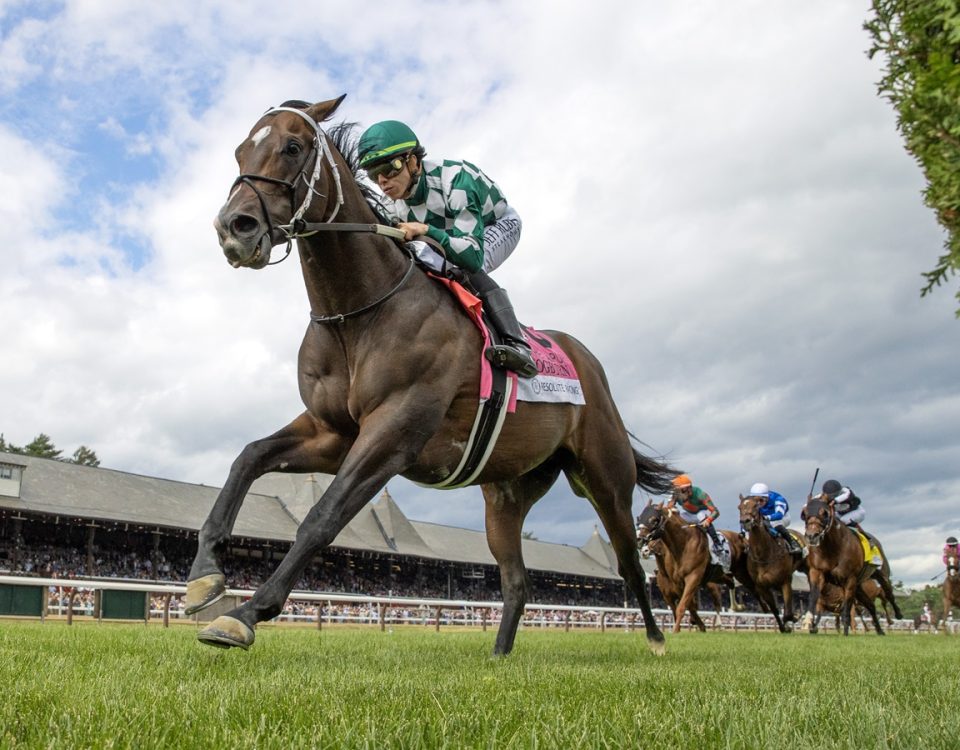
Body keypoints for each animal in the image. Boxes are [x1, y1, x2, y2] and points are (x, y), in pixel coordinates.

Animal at [182, 97, 676, 656]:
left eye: (292, 146)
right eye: (240, 150)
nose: (234, 228)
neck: (360, 312)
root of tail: (586, 360)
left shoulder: (394, 432)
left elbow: (320, 519)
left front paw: (245, 613)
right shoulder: (332, 431)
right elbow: (248, 458)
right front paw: (205, 577)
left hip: (605, 478)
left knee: (630, 562)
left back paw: (657, 641)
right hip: (506, 492)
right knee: (516, 580)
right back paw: (499, 656)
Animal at [636, 506, 756, 636]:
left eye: (653, 520)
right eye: (639, 518)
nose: (643, 548)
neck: (683, 544)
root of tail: (742, 538)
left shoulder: (692, 578)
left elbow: (683, 606)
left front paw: (677, 630)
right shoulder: (673, 590)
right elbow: (687, 606)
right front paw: (695, 625)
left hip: (729, 577)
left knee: (720, 600)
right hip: (720, 575)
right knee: (731, 582)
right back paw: (736, 607)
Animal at [740, 500, 808, 636]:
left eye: (755, 506)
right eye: (739, 507)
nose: (745, 521)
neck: (763, 554)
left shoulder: (785, 581)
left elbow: (787, 610)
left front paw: (792, 619)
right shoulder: (762, 586)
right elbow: (775, 608)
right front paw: (784, 627)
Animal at [796, 500, 900, 636]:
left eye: (825, 513)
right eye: (804, 514)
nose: (812, 536)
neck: (832, 548)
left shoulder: (849, 579)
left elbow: (846, 608)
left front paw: (845, 631)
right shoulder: (817, 572)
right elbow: (814, 597)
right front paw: (808, 623)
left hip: (881, 575)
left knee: (888, 594)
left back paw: (896, 615)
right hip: (859, 587)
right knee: (871, 605)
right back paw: (879, 630)